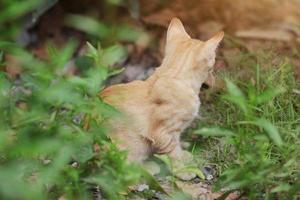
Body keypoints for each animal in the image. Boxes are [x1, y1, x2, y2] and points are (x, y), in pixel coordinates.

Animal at [100, 17, 223, 180]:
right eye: (213, 62)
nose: (213, 77)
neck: (173, 76)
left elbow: (177, 146)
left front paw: (184, 155)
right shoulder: (162, 133)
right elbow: (173, 153)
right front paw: (183, 170)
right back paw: (148, 167)